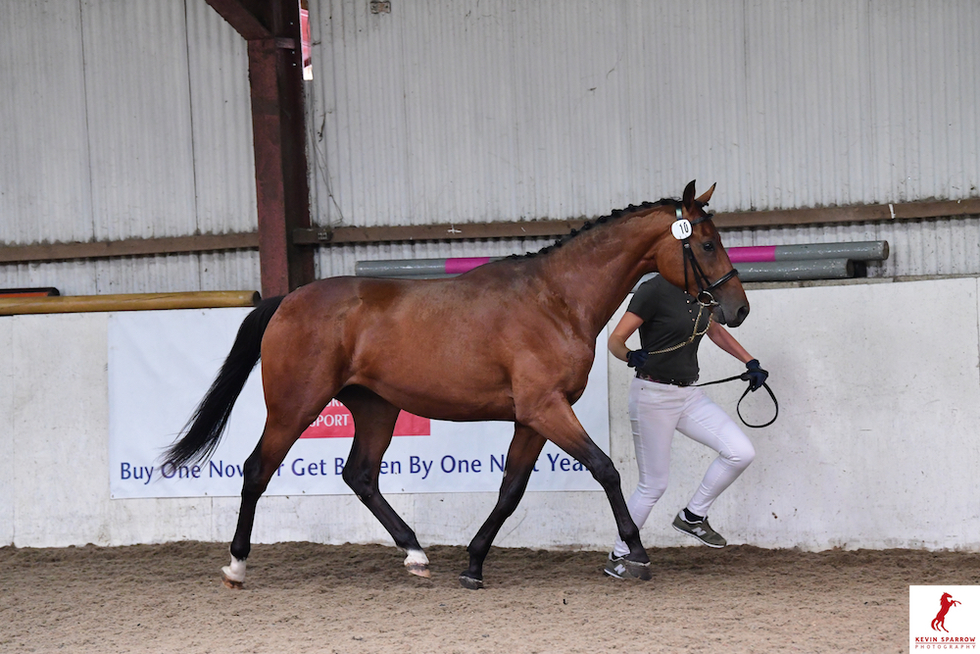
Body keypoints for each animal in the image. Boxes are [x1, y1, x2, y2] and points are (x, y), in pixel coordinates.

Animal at [164, 180, 749, 590]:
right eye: (706, 243)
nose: (737, 309)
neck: (557, 299)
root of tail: (288, 299)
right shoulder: (546, 408)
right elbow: (605, 469)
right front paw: (637, 555)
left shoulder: (532, 417)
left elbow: (511, 489)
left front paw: (473, 563)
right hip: (295, 406)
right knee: (257, 469)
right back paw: (237, 566)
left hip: (375, 407)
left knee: (361, 475)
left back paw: (416, 554)